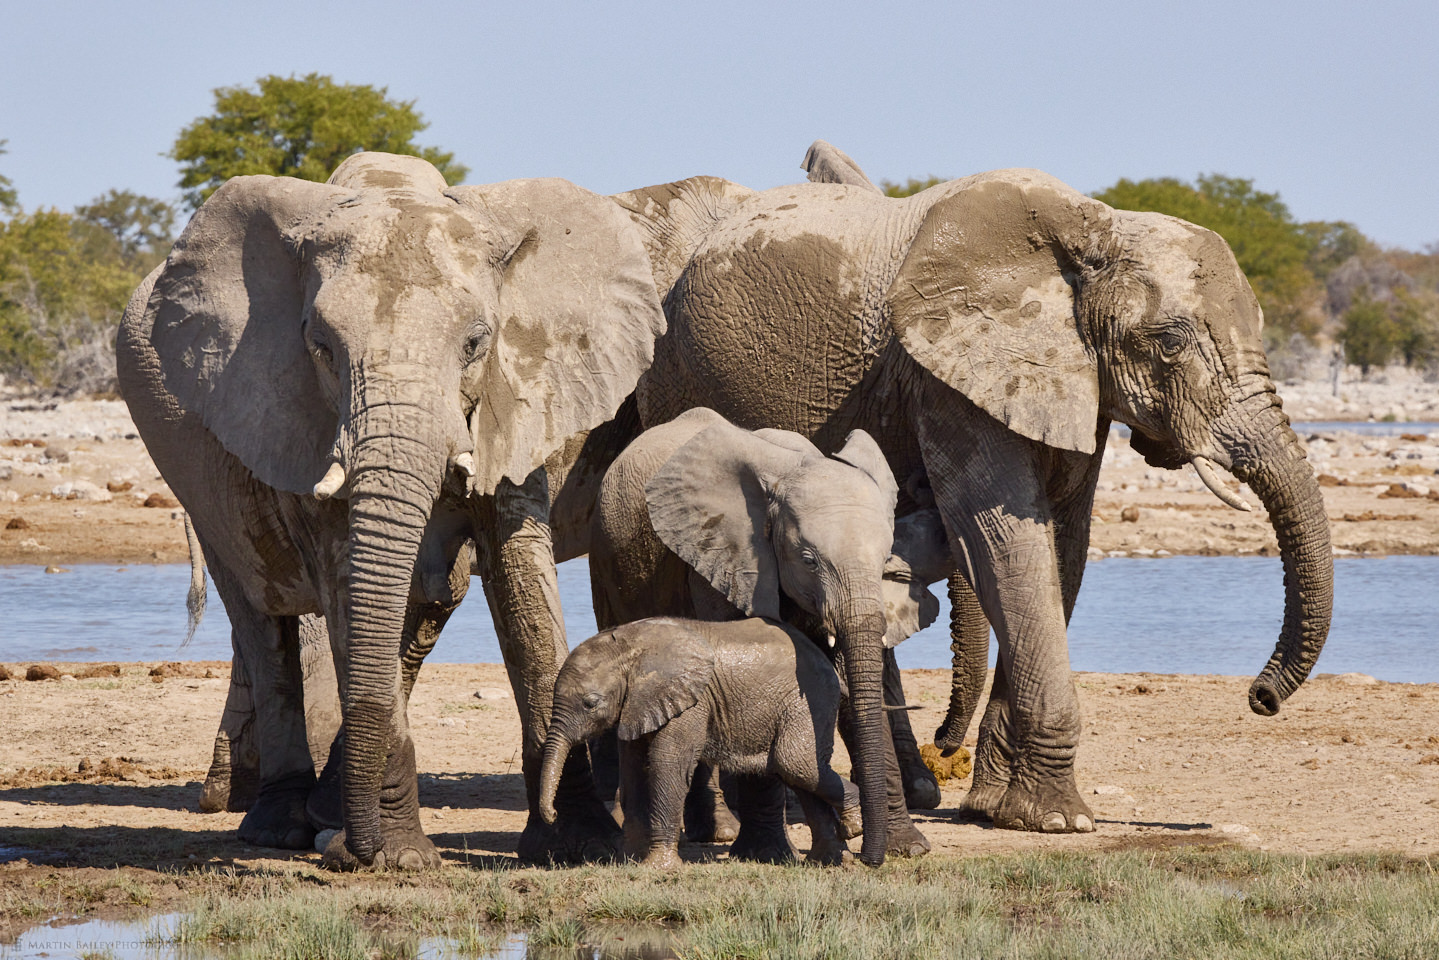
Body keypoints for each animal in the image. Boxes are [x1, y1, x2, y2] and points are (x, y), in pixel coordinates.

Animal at [120, 151, 664, 869]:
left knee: (424, 604)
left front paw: (578, 844)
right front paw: (401, 858)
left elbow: (524, 588)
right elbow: (348, 584)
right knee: (261, 617)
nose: (354, 852)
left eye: (475, 344)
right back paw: (283, 826)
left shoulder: (520, 399)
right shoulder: (299, 416)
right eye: (320, 347)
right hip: (192, 475)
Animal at [541, 616, 851, 869]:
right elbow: (633, 767)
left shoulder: (691, 702)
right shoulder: (638, 703)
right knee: (798, 773)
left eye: (590, 703)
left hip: (809, 702)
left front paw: (657, 867)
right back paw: (825, 859)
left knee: (795, 764)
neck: (629, 646)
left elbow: (666, 761)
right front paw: (628, 860)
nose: (552, 813)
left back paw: (853, 823)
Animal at [587, 405, 938, 863]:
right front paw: (767, 851)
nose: (866, 855)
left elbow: (843, 676)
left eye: (885, 562)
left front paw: (908, 848)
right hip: (604, 558)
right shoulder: (726, 555)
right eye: (808, 560)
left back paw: (713, 831)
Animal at [613, 144, 1329, 840]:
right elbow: (1005, 537)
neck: (1092, 227)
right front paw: (1057, 820)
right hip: (677, 376)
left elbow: (1061, 542)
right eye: (1170, 342)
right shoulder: (946, 379)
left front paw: (999, 809)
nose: (1260, 697)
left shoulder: (1066, 377)